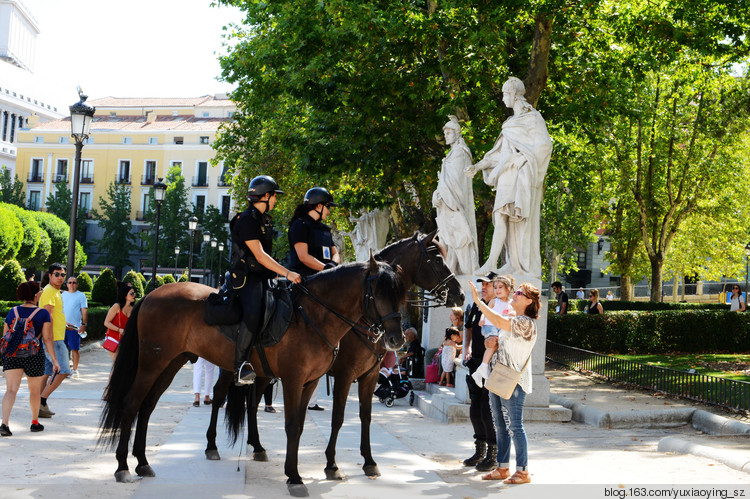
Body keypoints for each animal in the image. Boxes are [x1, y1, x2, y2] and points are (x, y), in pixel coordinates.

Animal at [100, 256, 408, 498]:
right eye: (378, 294)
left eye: (401, 294)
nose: (396, 339)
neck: (315, 315)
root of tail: (151, 295)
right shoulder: (307, 379)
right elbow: (300, 424)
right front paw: (298, 475)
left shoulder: (319, 381)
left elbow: (320, 422)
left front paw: (361, 463)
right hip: (152, 364)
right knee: (132, 404)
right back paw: (123, 466)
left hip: (171, 364)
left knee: (149, 407)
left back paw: (144, 461)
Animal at [204, 230, 464, 480]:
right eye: (437, 259)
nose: (460, 295)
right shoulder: (344, 374)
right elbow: (338, 417)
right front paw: (331, 464)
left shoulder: (370, 376)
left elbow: (366, 416)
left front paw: (369, 461)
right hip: (231, 366)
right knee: (219, 395)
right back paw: (212, 445)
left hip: (264, 371)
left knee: (252, 402)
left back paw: (257, 446)